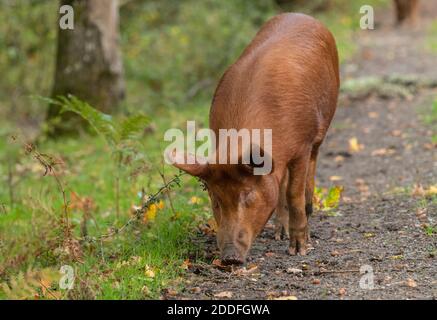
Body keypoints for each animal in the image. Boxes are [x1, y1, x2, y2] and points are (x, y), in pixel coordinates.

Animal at [167, 13, 338, 264]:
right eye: (216, 199)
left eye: (247, 194)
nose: (230, 257)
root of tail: (301, 15)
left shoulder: (301, 146)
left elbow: (293, 193)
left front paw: (298, 250)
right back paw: (278, 234)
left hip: (323, 123)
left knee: (311, 168)